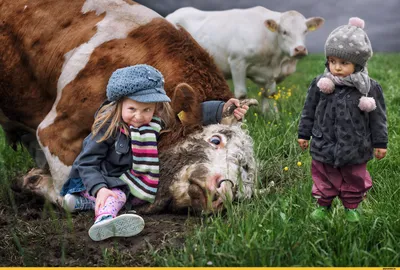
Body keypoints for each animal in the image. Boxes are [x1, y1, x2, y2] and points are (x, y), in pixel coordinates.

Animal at [0, 0, 256, 214]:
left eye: (244, 178)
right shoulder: (56, 132)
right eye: (215, 140)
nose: (223, 192)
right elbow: (71, 194)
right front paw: (33, 181)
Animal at [166, 6, 324, 112]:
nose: (300, 49)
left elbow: (269, 94)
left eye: (305, 31)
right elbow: (241, 94)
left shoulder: (270, 73)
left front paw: (271, 115)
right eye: (284, 32)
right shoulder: (237, 62)